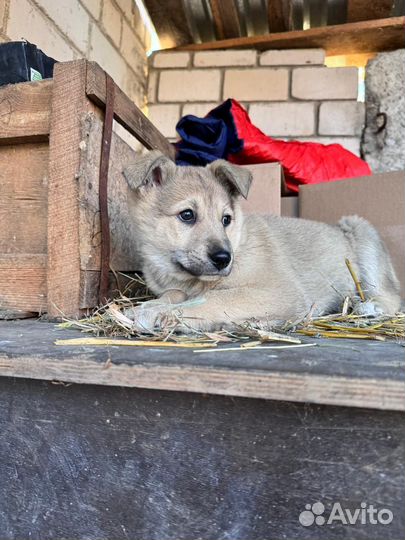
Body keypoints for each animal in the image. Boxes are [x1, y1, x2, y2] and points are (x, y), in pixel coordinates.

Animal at [121, 150, 400, 332]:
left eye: (226, 219)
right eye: (187, 215)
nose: (224, 259)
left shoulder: (278, 290)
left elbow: (215, 299)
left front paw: (159, 313)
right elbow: (174, 294)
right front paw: (147, 306)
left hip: (361, 232)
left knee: (392, 296)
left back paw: (368, 307)